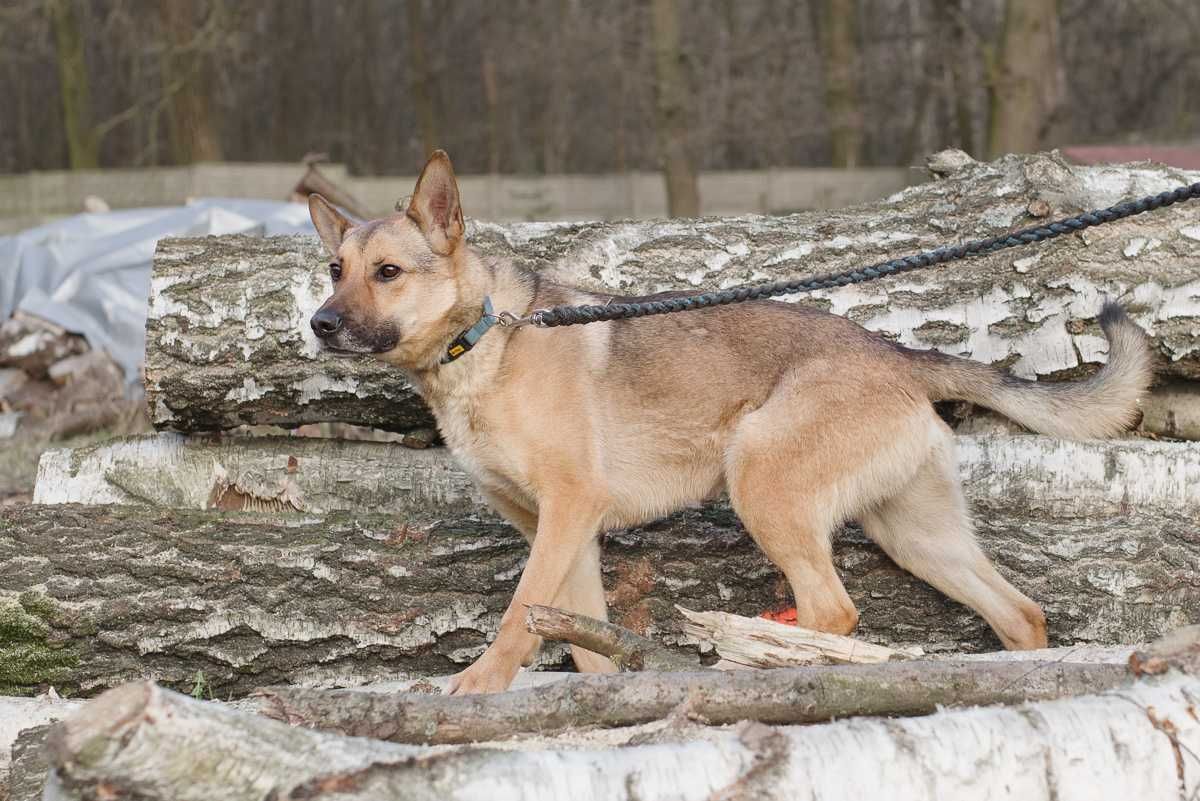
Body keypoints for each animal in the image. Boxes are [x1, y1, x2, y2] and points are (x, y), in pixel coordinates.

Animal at [307, 149, 1152, 695]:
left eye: (388, 272)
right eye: (335, 271)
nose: (318, 324)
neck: (486, 340)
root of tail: (894, 352)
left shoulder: (568, 510)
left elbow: (521, 615)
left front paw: (479, 685)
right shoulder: (562, 531)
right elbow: (584, 638)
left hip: (763, 483)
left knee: (834, 609)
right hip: (916, 533)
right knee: (1020, 613)